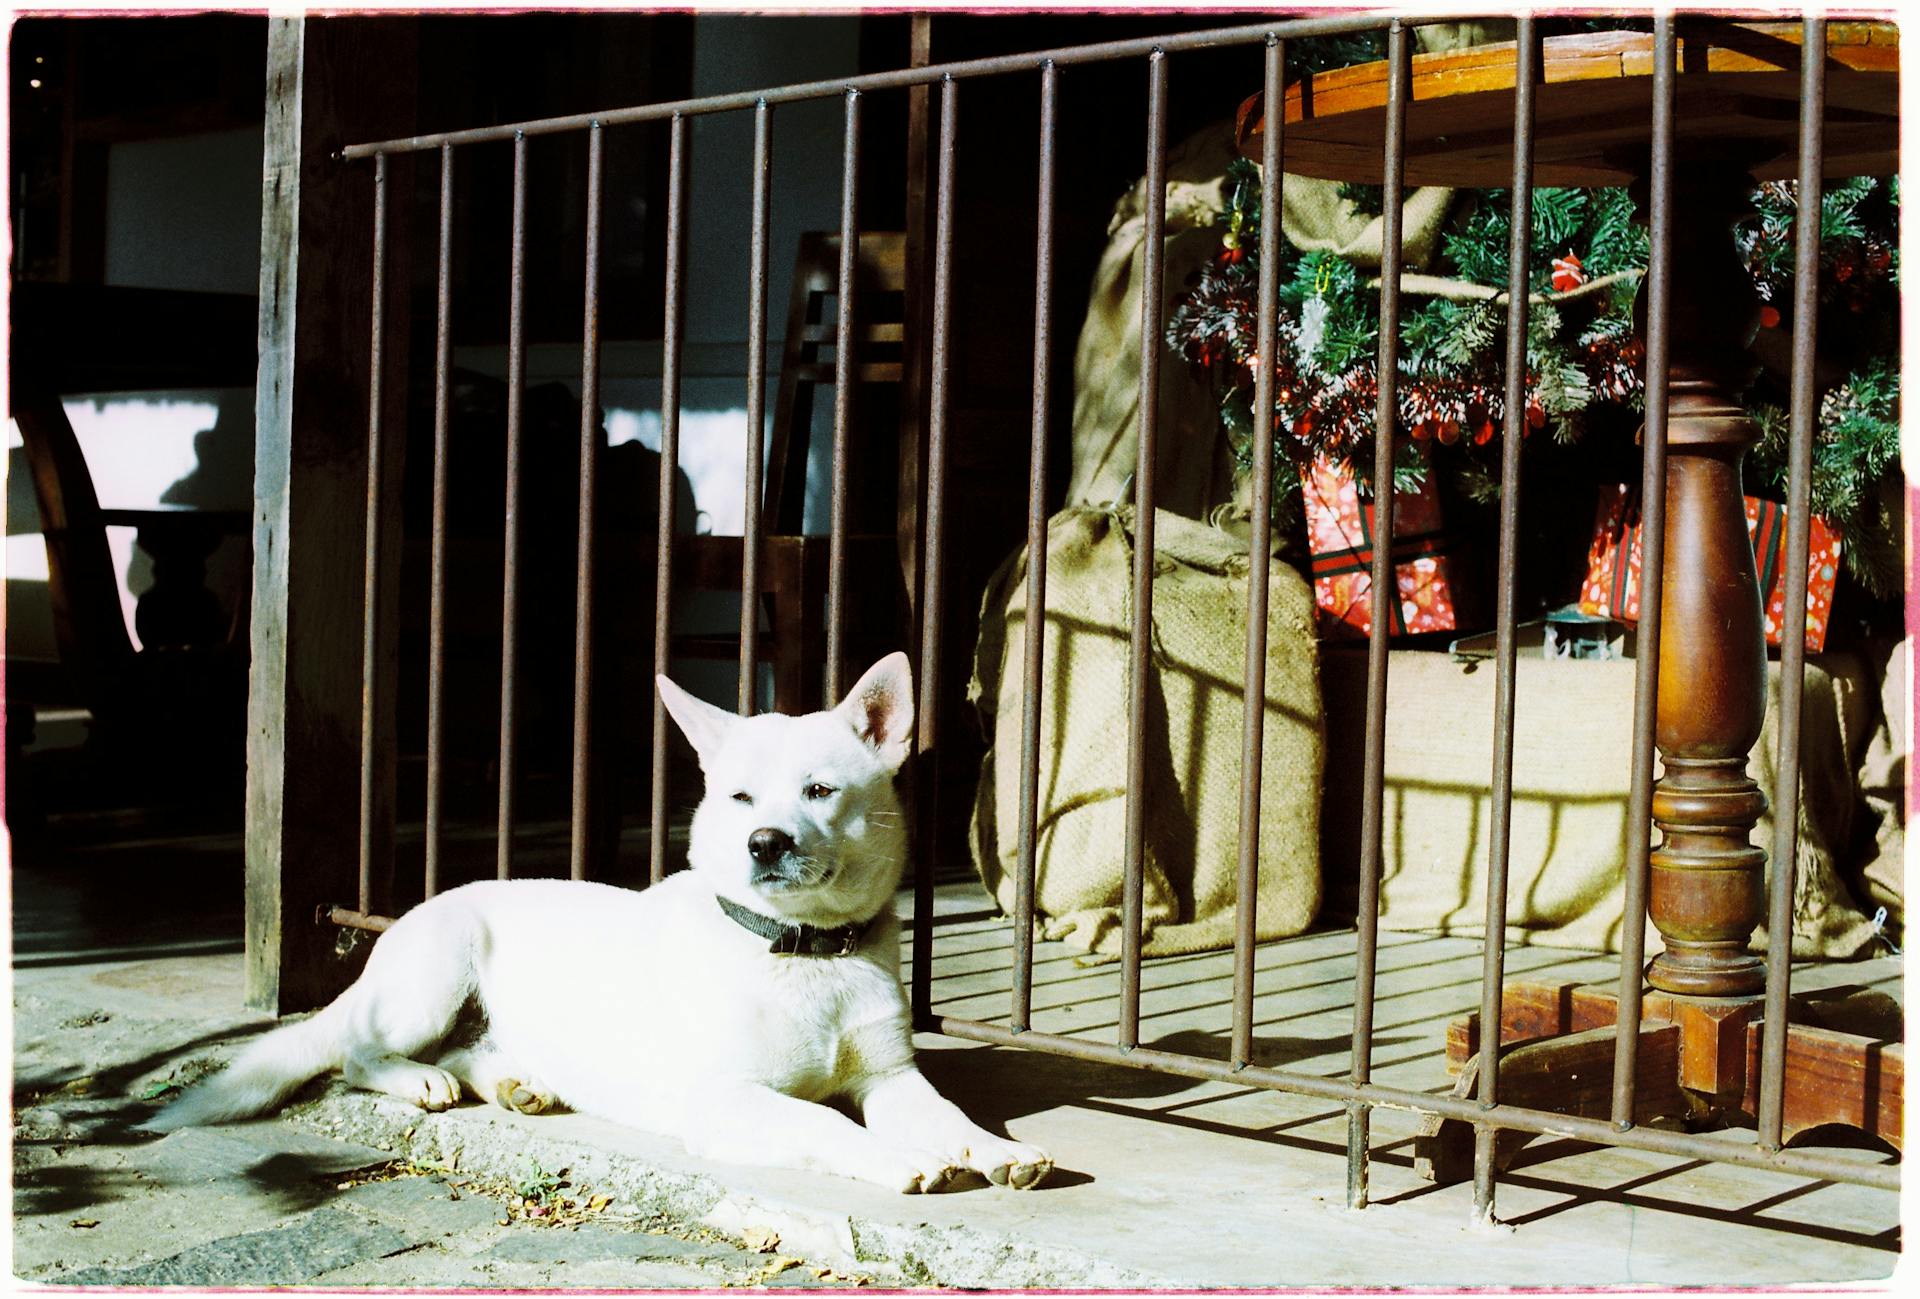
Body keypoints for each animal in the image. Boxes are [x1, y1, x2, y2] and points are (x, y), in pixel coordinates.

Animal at [145, 652, 1052, 1189]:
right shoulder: (726, 1099)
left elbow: (947, 1113)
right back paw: (421, 1080)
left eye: (820, 791)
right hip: (433, 976)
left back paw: (514, 1081)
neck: (804, 952)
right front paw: (899, 1158)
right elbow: (819, 1119)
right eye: (740, 797)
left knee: (467, 1048)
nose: (764, 843)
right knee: (357, 1054)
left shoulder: (891, 1077)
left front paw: (996, 1149)